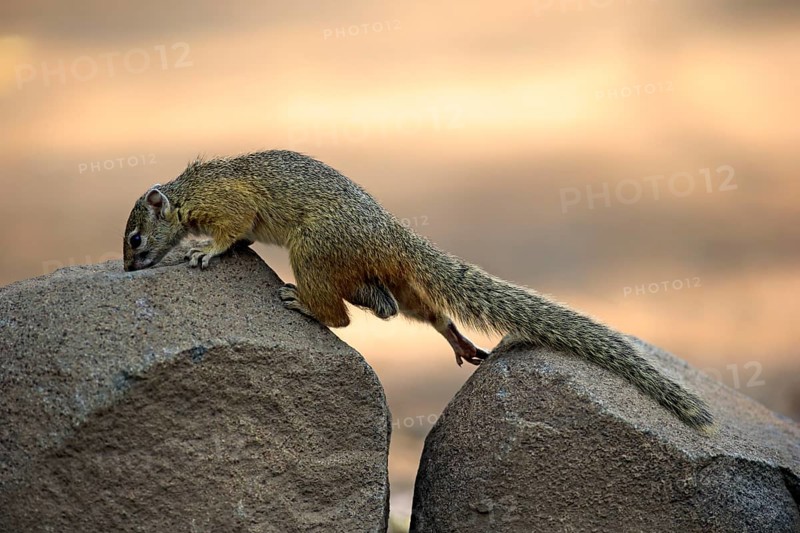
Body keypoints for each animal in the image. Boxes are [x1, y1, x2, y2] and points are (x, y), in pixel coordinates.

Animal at [123, 150, 714, 432]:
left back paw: (302, 304)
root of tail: (394, 236)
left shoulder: (228, 204)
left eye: (134, 238)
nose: (129, 269)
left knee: (343, 316)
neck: (187, 194)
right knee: (403, 310)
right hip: (393, 282)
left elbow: (231, 232)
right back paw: (456, 339)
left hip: (315, 252)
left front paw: (203, 252)